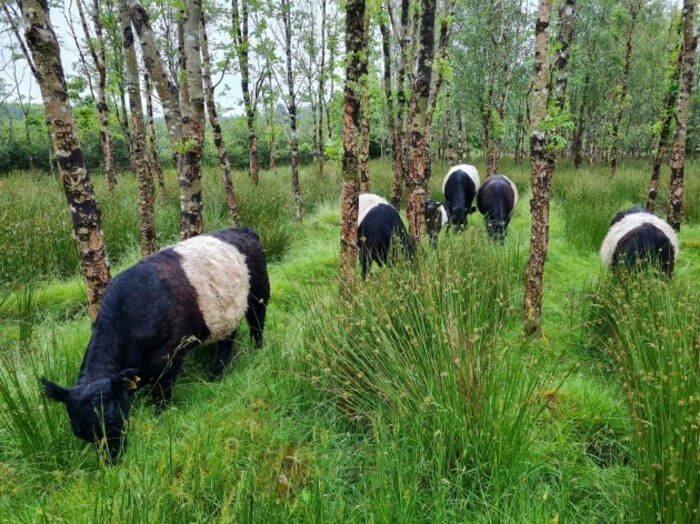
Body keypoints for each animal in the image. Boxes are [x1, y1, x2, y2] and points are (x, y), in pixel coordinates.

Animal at [39, 227, 270, 460]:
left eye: (114, 421)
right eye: (80, 431)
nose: (113, 461)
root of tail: (242, 230)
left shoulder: (168, 355)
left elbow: (161, 391)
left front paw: (162, 417)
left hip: (259, 294)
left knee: (257, 325)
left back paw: (255, 352)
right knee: (227, 340)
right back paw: (217, 375)